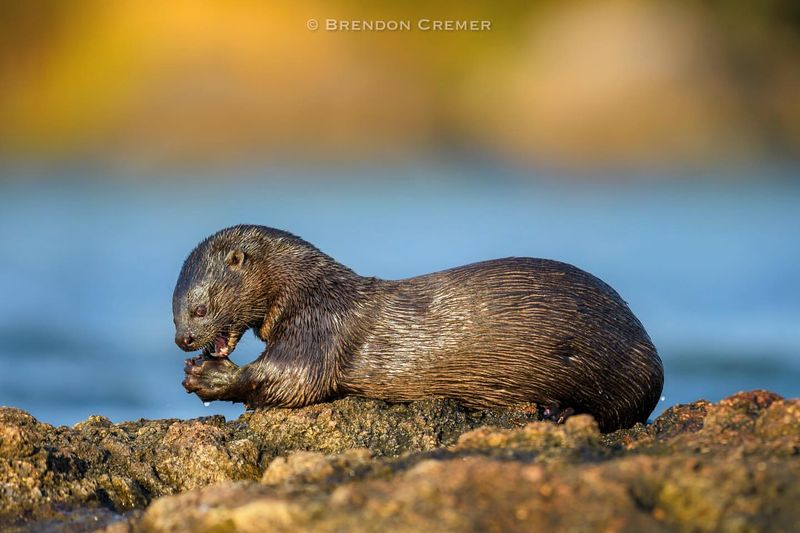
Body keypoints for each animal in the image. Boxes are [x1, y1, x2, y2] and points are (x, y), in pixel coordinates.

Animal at [173, 224, 664, 432]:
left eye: (199, 309)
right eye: (174, 310)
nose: (183, 340)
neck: (311, 290)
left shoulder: (319, 327)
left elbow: (294, 379)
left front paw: (210, 377)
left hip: (623, 366)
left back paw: (557, 413)